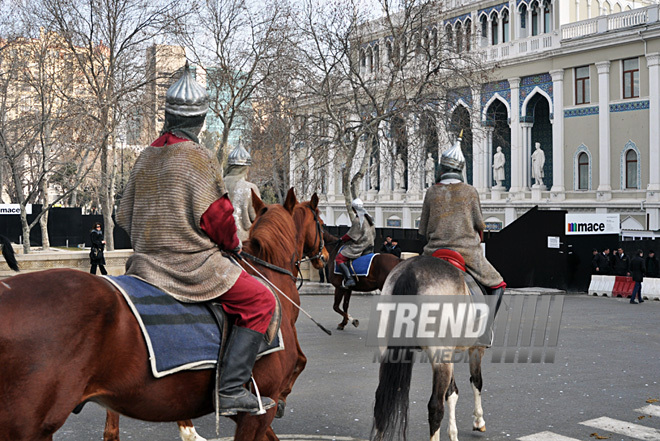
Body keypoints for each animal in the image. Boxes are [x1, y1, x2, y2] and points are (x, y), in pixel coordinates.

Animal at [372, 254, 490, 440]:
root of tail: (410, 270)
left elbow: (452, 392)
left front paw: (453, 433)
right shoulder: (476, 349)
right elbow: (476, 381)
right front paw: (478, 421)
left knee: (382, 397)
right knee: (435, 406)